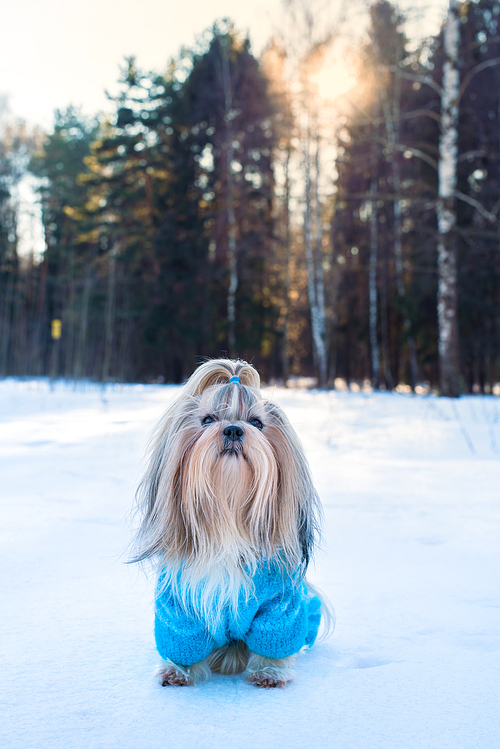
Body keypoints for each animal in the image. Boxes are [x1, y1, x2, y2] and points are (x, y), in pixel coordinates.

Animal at [131, 360, 330, 688]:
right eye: (208, 419)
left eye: (257, 423)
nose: (234, 429)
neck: (229, 518)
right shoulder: (179, 606)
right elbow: (182, 641)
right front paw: (178, 671)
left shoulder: (279, 606)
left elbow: (274, 639)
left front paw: (269, 672)